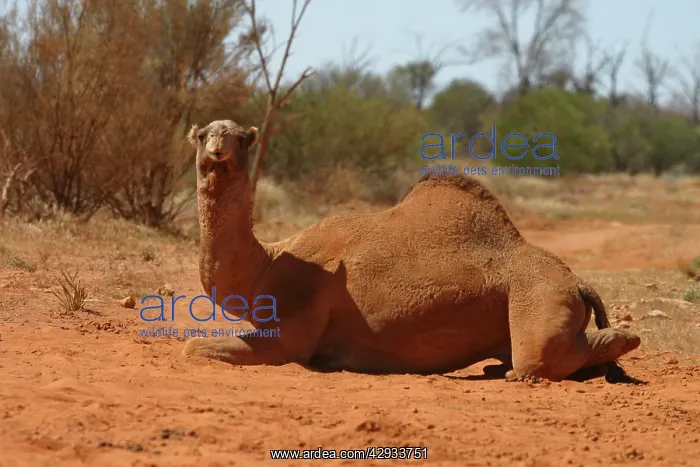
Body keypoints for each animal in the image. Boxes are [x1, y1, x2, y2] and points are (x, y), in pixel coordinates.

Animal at [182, 119, 643, 384]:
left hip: (540, 295)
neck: (269, 264)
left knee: (536, 361)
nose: (217, 151)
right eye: (203, 135)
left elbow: (193, 348)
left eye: (242, 139)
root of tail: (578, 282)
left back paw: (615, 341)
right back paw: (499, 367)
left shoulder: (291, 329)